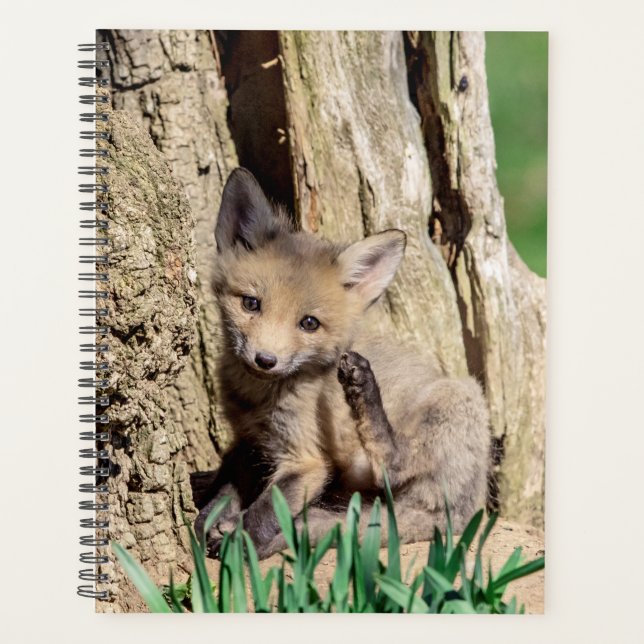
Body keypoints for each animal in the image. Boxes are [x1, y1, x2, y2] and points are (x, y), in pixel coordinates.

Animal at [192, 167, 490, 559]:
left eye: (309, 323)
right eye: (251, 304)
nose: (265, 359)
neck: (260, 399)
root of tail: (465, 510)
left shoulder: (306, 460)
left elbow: (267, 509)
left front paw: (240, 543)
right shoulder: (250, 440)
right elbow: (227, 484)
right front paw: (212, 518)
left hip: (458, 399)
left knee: (394, 465)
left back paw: (363, 388)